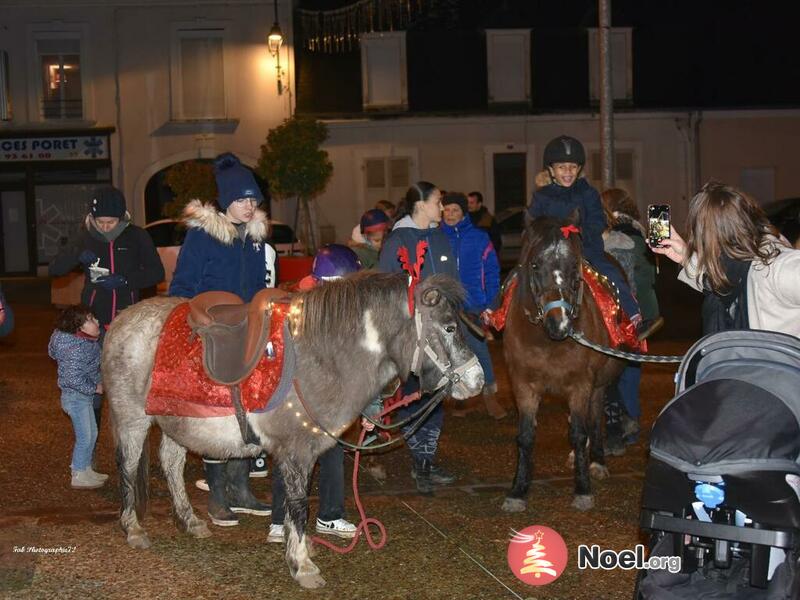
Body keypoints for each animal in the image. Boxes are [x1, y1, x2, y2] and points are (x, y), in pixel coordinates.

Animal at [500, 216, 624, 510]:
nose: (560, 323)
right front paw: (518, 490)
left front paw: (582, 489)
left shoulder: (581, 384)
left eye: (574, 266)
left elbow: (579, 433)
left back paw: (597, 461)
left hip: (599, 384)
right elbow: (525, 436)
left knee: (594, 417)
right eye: (535, 265)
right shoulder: (523, 385)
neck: (547, 341)